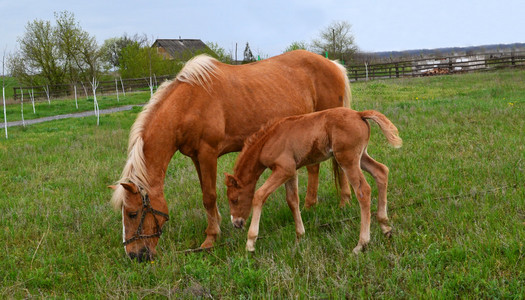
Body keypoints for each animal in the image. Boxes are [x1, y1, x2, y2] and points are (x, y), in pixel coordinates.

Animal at [110, 49, 352, 260]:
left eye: (132, 213)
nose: (134, 255)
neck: (188, 103)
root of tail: (333, 64)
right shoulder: (196, 157)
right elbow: (206, 194)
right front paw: (215, 226)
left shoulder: (208, 152)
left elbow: (209, 196)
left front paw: (210, 238)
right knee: (314, 167)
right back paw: (310, 206)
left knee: (339, 166)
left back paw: (344, 203)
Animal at [225, 107, 402, 253]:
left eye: (234, 200)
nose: (236, 223)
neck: (268, 140)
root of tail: (359, 114)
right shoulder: (290, 172)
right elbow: (292, 201)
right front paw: (299, 237)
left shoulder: (284, 169)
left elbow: (259, 195)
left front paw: (250, 243)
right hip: (361, 157)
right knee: (381, 172)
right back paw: (385, 227)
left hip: (347, 160)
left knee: (363, 191)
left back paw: (361, 244)